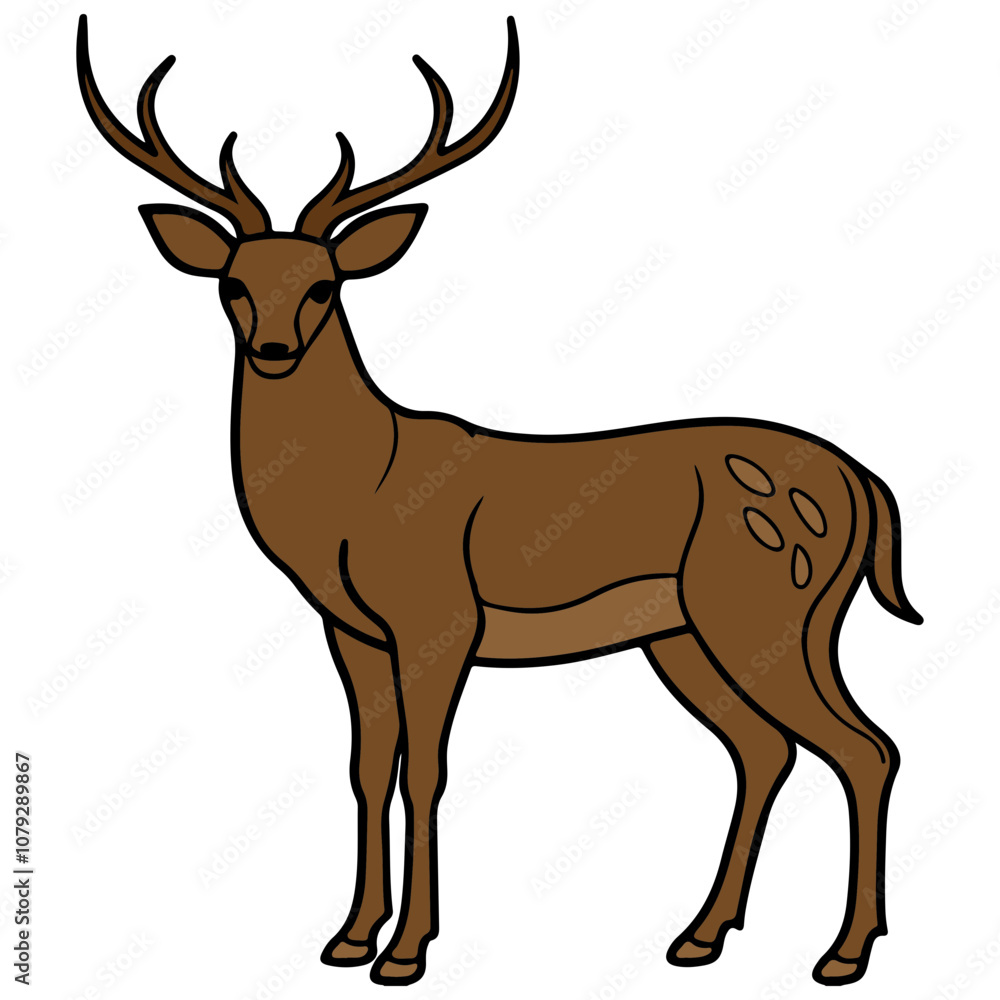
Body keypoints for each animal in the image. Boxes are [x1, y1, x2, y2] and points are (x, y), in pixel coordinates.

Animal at [77, 12, 922, 987]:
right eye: (233, 284)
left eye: (324, 284)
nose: (276, 349)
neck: (360, 491)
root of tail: (864, 483)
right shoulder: (353, 630)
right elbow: (368, 767)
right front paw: (348, 937)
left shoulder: (438, 617)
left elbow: (426, 772)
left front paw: (407, 952)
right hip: (690, 633)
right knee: (766, 749)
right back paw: (700, 937)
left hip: (767, 611)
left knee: (865, 748)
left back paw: (843, 954)